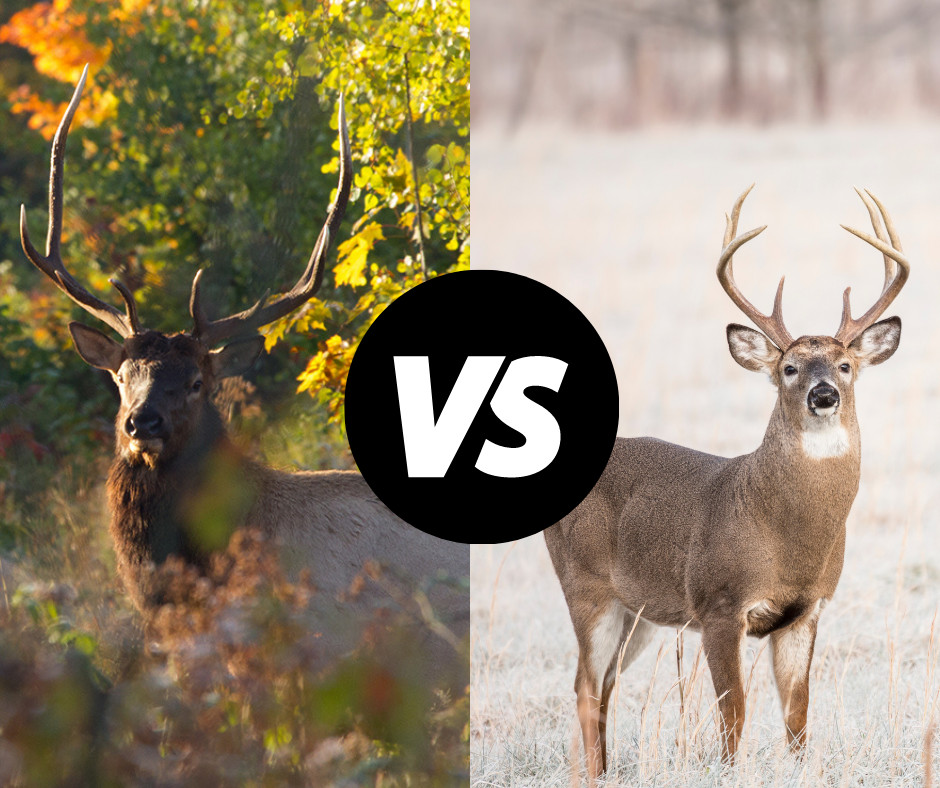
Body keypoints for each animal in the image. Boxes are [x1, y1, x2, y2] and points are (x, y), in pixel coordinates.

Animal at [544, 185, 909, 778]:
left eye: (846, 365)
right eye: (788, 369)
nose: (823, 394)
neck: (787, 536)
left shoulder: (807, 610)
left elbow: (797, 717)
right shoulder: (718, 602)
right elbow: (732, 714)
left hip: (638, 610)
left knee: (603, 685)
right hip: (586, 586)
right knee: (584, 685)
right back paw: (594, 776)